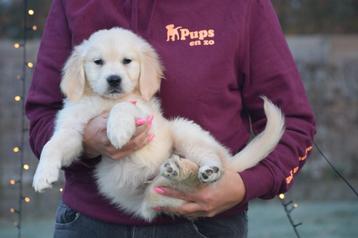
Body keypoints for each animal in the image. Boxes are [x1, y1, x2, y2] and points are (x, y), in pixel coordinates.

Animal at [33, 27, 286, 221]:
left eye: (127, 61)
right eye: (98, 62)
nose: (114, 80)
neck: (104, 101)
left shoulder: (147, 119)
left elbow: (123, 106)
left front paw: (118, 130)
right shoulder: (74, 130)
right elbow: (50, 146)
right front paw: (42, 175)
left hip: (183, 130)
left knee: (211, 161)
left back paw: (204, 169)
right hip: (159, 195)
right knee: (185, 183)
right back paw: (176, 169)